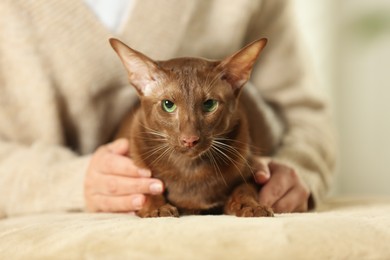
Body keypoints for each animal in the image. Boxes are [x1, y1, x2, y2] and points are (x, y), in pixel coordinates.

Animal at [109, 38, 274, 217]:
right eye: (168, 105)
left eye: (209, 104)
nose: (190, 139)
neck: (190, 171)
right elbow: (149, 190)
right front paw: (157, 209)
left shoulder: (251, 173)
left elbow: (244, 190)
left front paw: (253, 207)